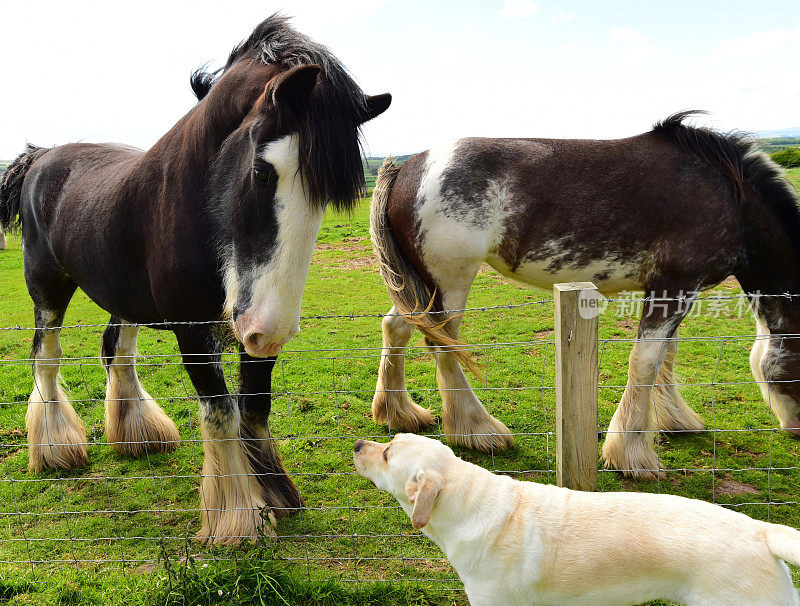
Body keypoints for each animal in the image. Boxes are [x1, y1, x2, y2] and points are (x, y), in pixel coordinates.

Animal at [0, 15, 392, 548]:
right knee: (47, 356)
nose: (270, 330)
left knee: (117, 351)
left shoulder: (248, 327)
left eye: (327, 195)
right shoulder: (193, 329)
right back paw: (55, 449)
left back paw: (138, 434)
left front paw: (275, 493)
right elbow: (222, 412)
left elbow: (254, 407)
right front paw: (238, 519)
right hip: (47, 287)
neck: (199, 200)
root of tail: (41, 158)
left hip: (125, 298)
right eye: (262, 172)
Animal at [372, 114, 800, 482]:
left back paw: (400, 414)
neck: (727, 196)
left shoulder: (675, 289)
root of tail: (405, 169)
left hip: (420, 286)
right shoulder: (673, 286)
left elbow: (666, 355)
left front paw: (675, 420)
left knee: (397, 327)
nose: (797, 430)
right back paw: (477, 430)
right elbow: (646, 361)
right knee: (442, 344)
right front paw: (632, 455)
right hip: (450, 281)